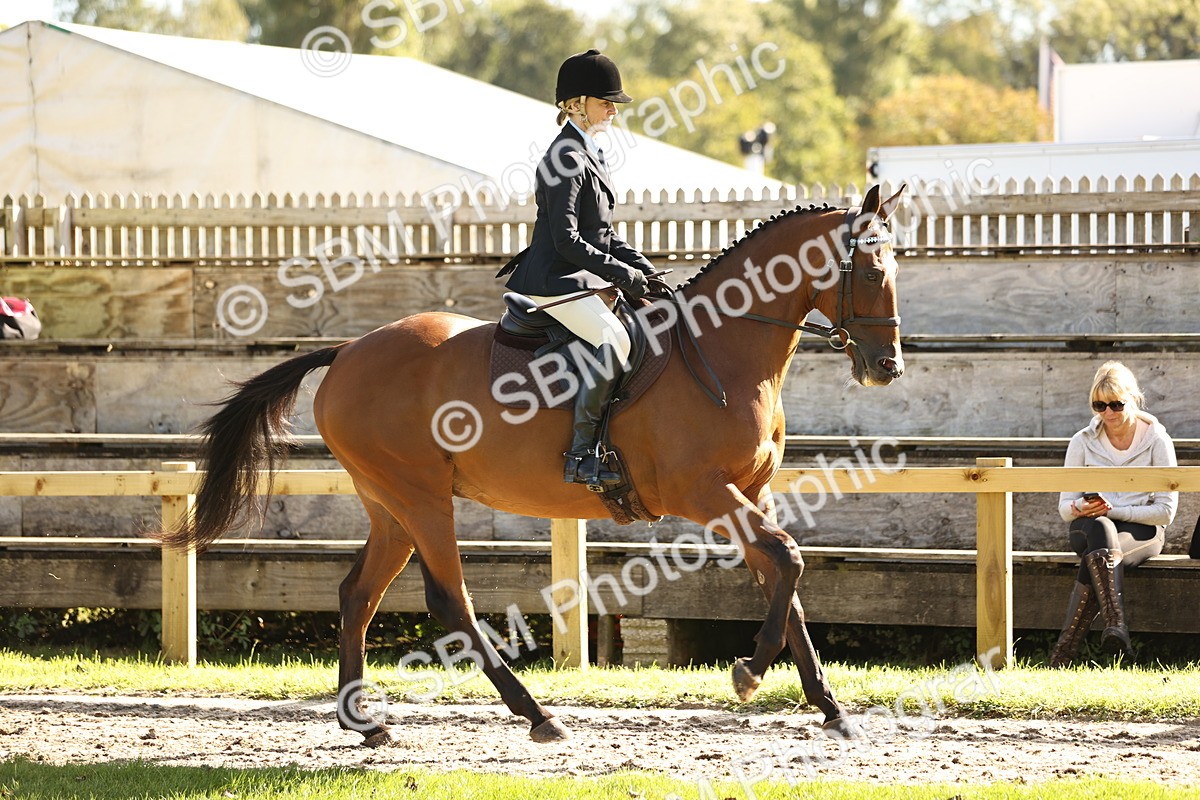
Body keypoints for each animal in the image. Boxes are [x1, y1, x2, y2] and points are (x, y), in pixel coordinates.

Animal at [161, 183, 906, 745]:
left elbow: (787, 578)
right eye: (872, 272)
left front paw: (831, 707)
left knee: (356, 594)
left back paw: (365, 723)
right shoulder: (704, 492)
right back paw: (536, 714)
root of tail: (346, 352)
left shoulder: (751, 491)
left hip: (389, 503)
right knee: (449, 599)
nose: (886, 368)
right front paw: (750, 673)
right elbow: (787, 559)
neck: (723, 350)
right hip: (421, 496)